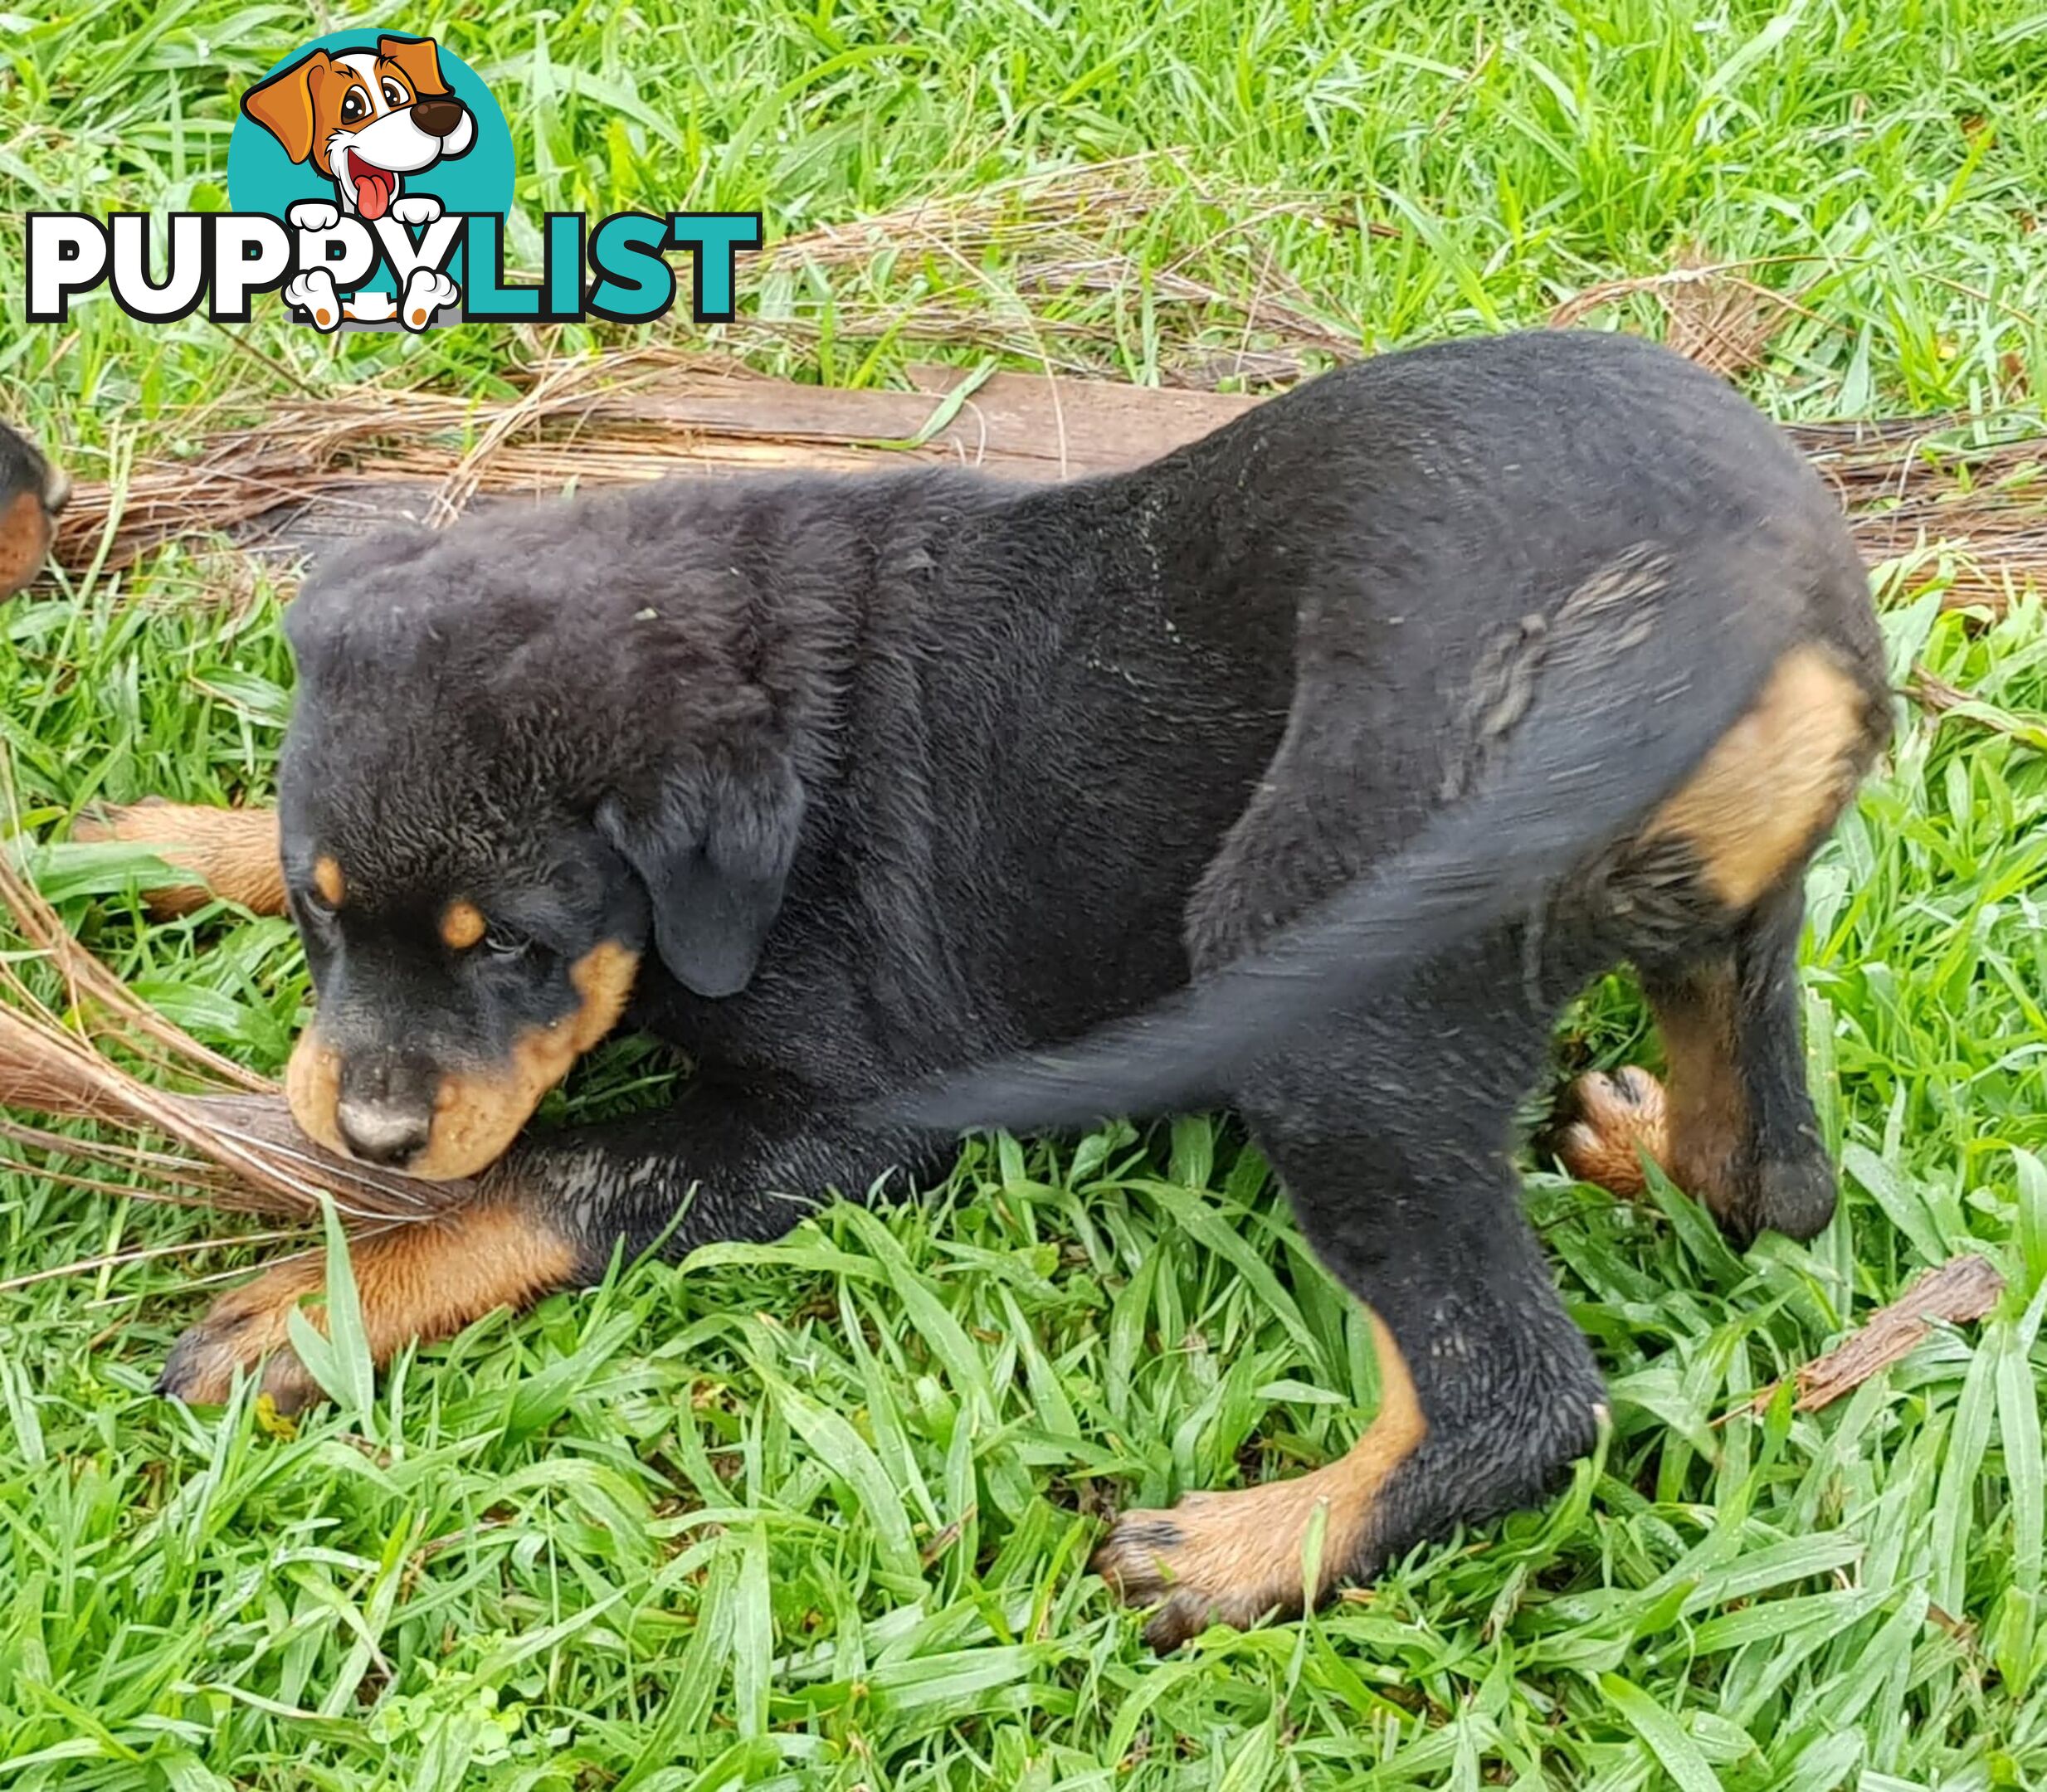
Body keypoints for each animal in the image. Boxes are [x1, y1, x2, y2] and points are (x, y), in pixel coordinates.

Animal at [95, 325, 1883, 1653]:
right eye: (322, 918)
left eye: (517, 949)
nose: (370, 1138)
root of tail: (1722, 606)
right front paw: (153, 841)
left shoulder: (847, 1119)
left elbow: (554, 1179)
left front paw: (309, 1307)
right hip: (1729, 921)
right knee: (1770, 1175)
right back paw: (1641, 1146)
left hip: (1324, 962)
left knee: (1520, 1396)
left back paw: (1241, 1552)